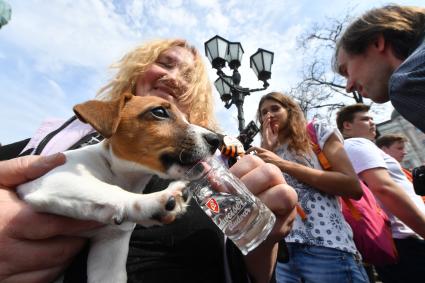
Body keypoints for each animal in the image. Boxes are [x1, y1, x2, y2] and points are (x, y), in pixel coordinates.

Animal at [17, 92, 220, 282]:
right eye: (159, 112)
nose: (217, 140)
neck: (121, 175)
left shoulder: (110, 249)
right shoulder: (53, 179)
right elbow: (109, 190)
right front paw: (153, 202)